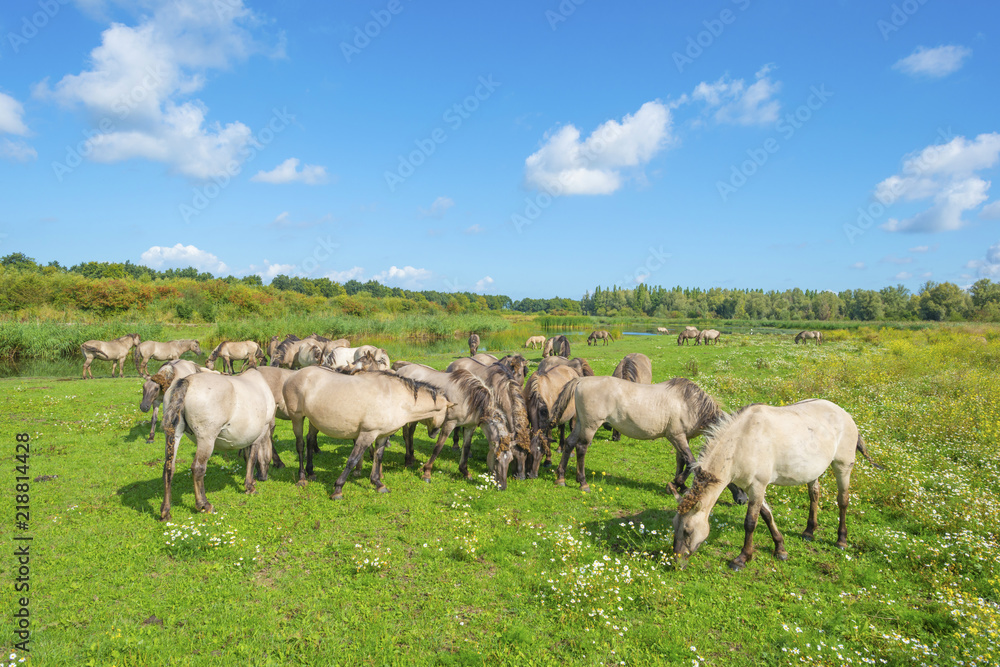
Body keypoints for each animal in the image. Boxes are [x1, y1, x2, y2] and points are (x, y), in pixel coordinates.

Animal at [160, 370, 278, 520]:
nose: (263, 477)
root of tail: (187, 381)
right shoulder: (260, 434)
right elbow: (252, 458)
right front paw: (250, 487)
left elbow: (247, 457)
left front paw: (250, 482)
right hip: (206, 438)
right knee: (198, 468)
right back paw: (204, 505)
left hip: (174, 434)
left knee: (169, 467)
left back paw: (165, 511)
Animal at [282, 366, 454, 500]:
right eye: (446, 414)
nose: (433, 434)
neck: (396, 398)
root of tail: (292, 376)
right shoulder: (367, 434)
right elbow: (352, 460)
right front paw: (338, 489)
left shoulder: (382, 436)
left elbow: (378, 457)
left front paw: (378, 483)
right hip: (297, 418)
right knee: (300, 445)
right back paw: (302, 478)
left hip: (313, 421)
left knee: (310, 441)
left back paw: (311, 472)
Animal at [552, 378, 748, 504]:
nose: (743, 500)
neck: (690, 404)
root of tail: (581, 381)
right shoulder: (676, 436)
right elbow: (692, 462)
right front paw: (676, 484)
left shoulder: (680, 438)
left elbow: (682, 461)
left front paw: (680, 485)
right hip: (590, 426)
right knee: (581, 448)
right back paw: (583, 483)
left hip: (581, 424)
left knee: (569, 444)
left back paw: (560, 478)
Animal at [672, 400, 884, 572]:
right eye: (674, 525)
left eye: (688, 531)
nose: (676, 562)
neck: (741, 442)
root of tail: (845, 413)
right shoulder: (751, 487)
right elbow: (767, 515)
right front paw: (780, 549)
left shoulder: (758, 485)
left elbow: (750, 522)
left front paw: (742, 558)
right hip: (813, 471)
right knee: (814, 494)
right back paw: (809, 531)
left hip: (843, 466)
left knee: (843, 500)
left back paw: (841, 540)